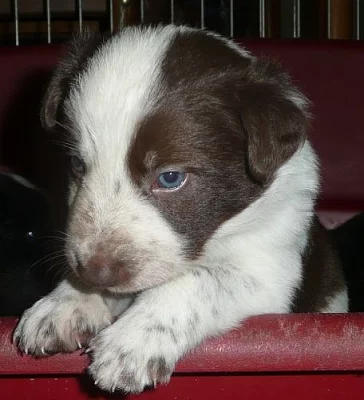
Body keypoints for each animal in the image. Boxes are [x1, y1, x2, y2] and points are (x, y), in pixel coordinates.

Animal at [14, 25, 346, 394]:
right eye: (77, 164)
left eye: (170, 177)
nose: (95, 273)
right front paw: (64, 303)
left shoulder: (269, 270)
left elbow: (198, 279)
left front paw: (134, 340)